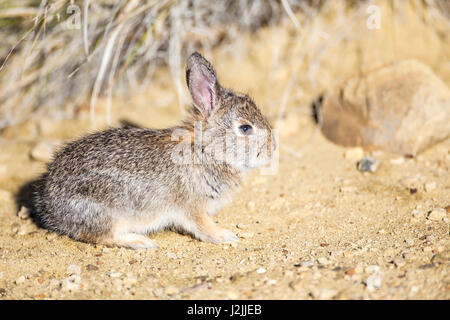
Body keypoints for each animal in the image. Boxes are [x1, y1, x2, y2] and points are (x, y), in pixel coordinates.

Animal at [33, 52, 274, 249]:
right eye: (245, 128)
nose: (272, 149)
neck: (205, 148)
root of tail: (49, 204)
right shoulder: (193, 205)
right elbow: (203, 226)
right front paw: (224, 236)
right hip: (106, 211)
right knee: (100, 236)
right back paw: (140, 241)